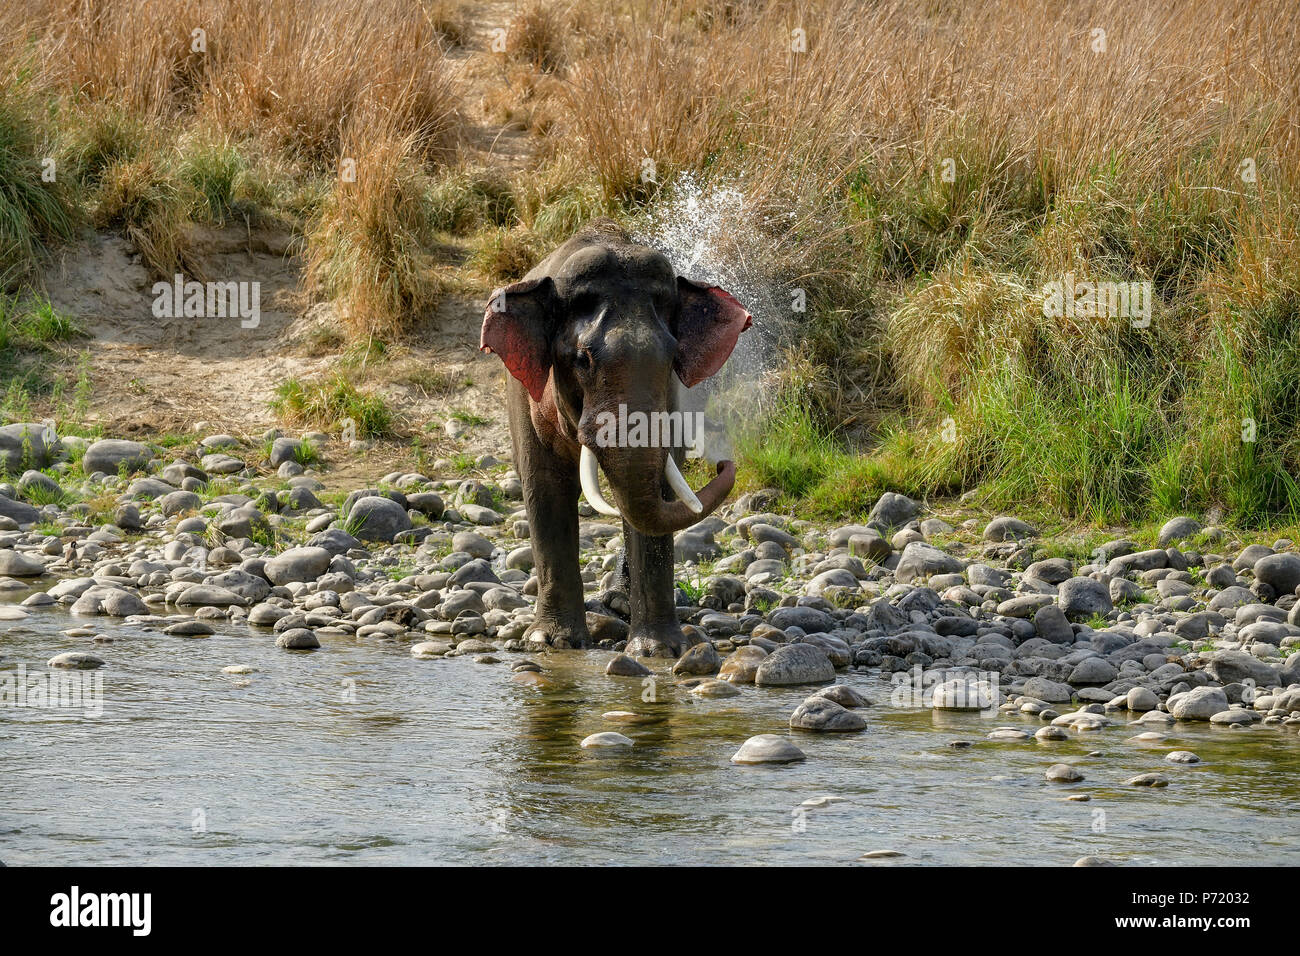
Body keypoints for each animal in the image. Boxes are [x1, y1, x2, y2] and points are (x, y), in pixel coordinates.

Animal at [483, 218, 754, 658]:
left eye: (672, 357)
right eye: (583, 359)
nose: (722, 462)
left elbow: (659, 491)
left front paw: (659, 651)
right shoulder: (524, 398)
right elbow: (544, 488)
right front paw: (552, 643)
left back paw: (620, 606)